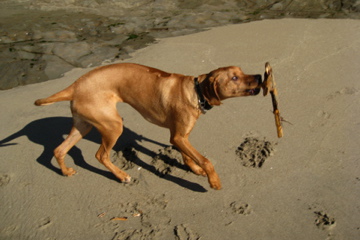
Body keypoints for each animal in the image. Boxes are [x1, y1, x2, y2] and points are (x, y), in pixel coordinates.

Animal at [34, 63, 262, 189]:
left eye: (241, 71)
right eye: (234, 77)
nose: (260, 76)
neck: (195, 91)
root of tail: (75, 85)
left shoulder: (180, 136)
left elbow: (188, 156)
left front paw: (194, 168)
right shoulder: (177, 137)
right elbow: (206, 161)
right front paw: (213, 181)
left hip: (84, 125)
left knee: (59, 149)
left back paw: (65, 172)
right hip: (113, 125)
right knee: (101, 155)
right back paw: (122, 176)